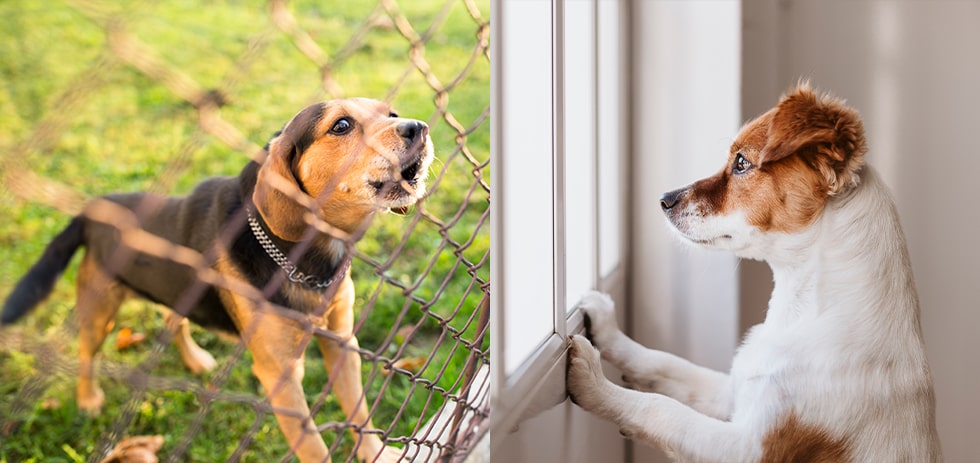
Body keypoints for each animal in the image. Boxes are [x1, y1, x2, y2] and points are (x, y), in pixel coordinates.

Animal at [1, 99, 432, 463]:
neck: (308, 259)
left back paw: (195, 360)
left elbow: (360, 410)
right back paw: (89, 398)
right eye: (341, 125)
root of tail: (93, 210)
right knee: (86, 352)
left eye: (391, 114)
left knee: (172, 320)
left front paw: (377, 453)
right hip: (100, 309)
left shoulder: (342, 343)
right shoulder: (280, 376)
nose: (420, 127)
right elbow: (313, 445)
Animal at [568, 84, 940, 463]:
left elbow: (661, 409)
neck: (802, 312)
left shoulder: (748, 448)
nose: (664, 199)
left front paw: (594, 382)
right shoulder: (732, 392)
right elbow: (664, 363)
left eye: (742, 163)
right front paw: (607, 329)